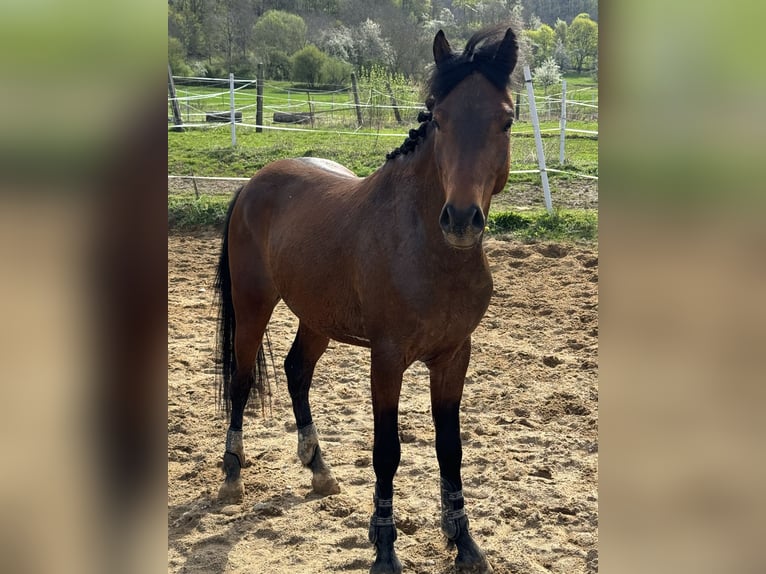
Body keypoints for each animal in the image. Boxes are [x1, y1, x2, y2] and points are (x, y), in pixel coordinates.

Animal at [213, 23, 520, 574]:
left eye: (505, 121)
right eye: (438, 118)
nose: (461, 220)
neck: (426, 249)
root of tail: (253, 184)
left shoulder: (453, 357)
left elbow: (450, 448)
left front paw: (464, 543)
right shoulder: (387, 358)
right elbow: (386, 451)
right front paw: (384, 548)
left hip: (316, 318)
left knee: (296, 371)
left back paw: (319, 470)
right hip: (252, 307)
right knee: (242, 381)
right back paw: (232, 476)